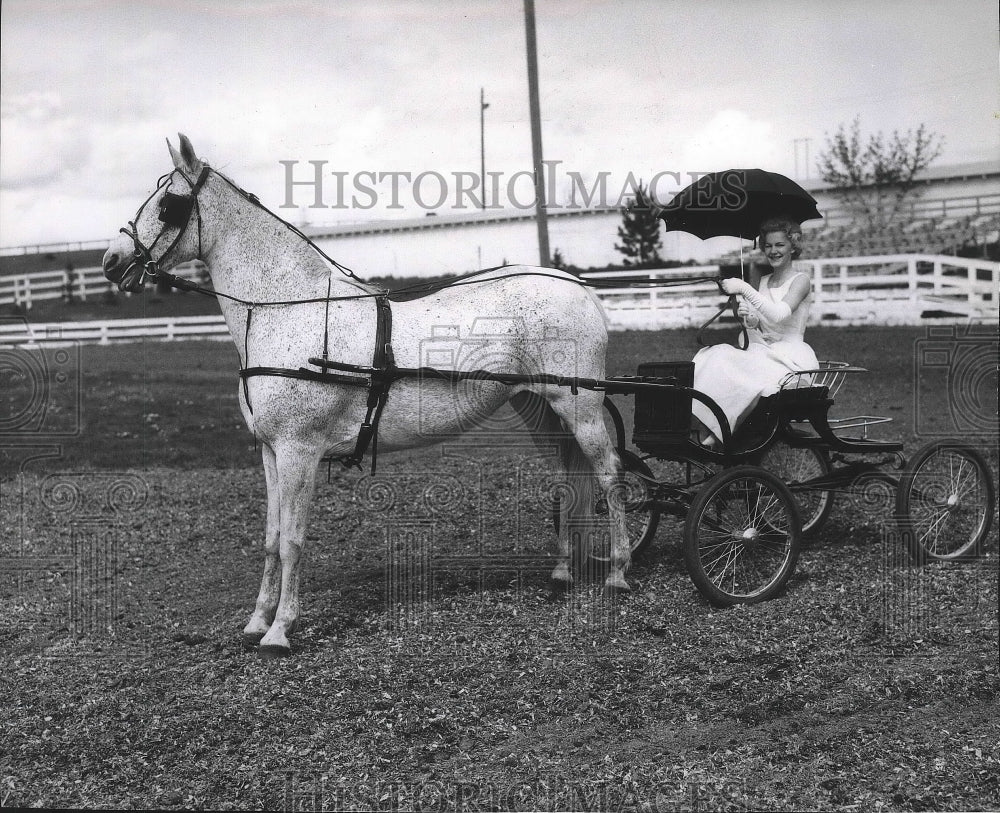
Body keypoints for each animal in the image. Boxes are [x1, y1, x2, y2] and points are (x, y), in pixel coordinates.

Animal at [103, 136, 632, 656]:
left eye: (169, 204)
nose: (111, 261)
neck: (292, 310)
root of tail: (578, 287)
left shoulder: (299, 451)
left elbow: (293, 539)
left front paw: (280, 631)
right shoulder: (270, 451)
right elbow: (272, 538)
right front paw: (256, 622)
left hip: (580, 408)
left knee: (608, 474)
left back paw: (618, 572)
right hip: (540, 408)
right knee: (568, 479)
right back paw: (562, 572)